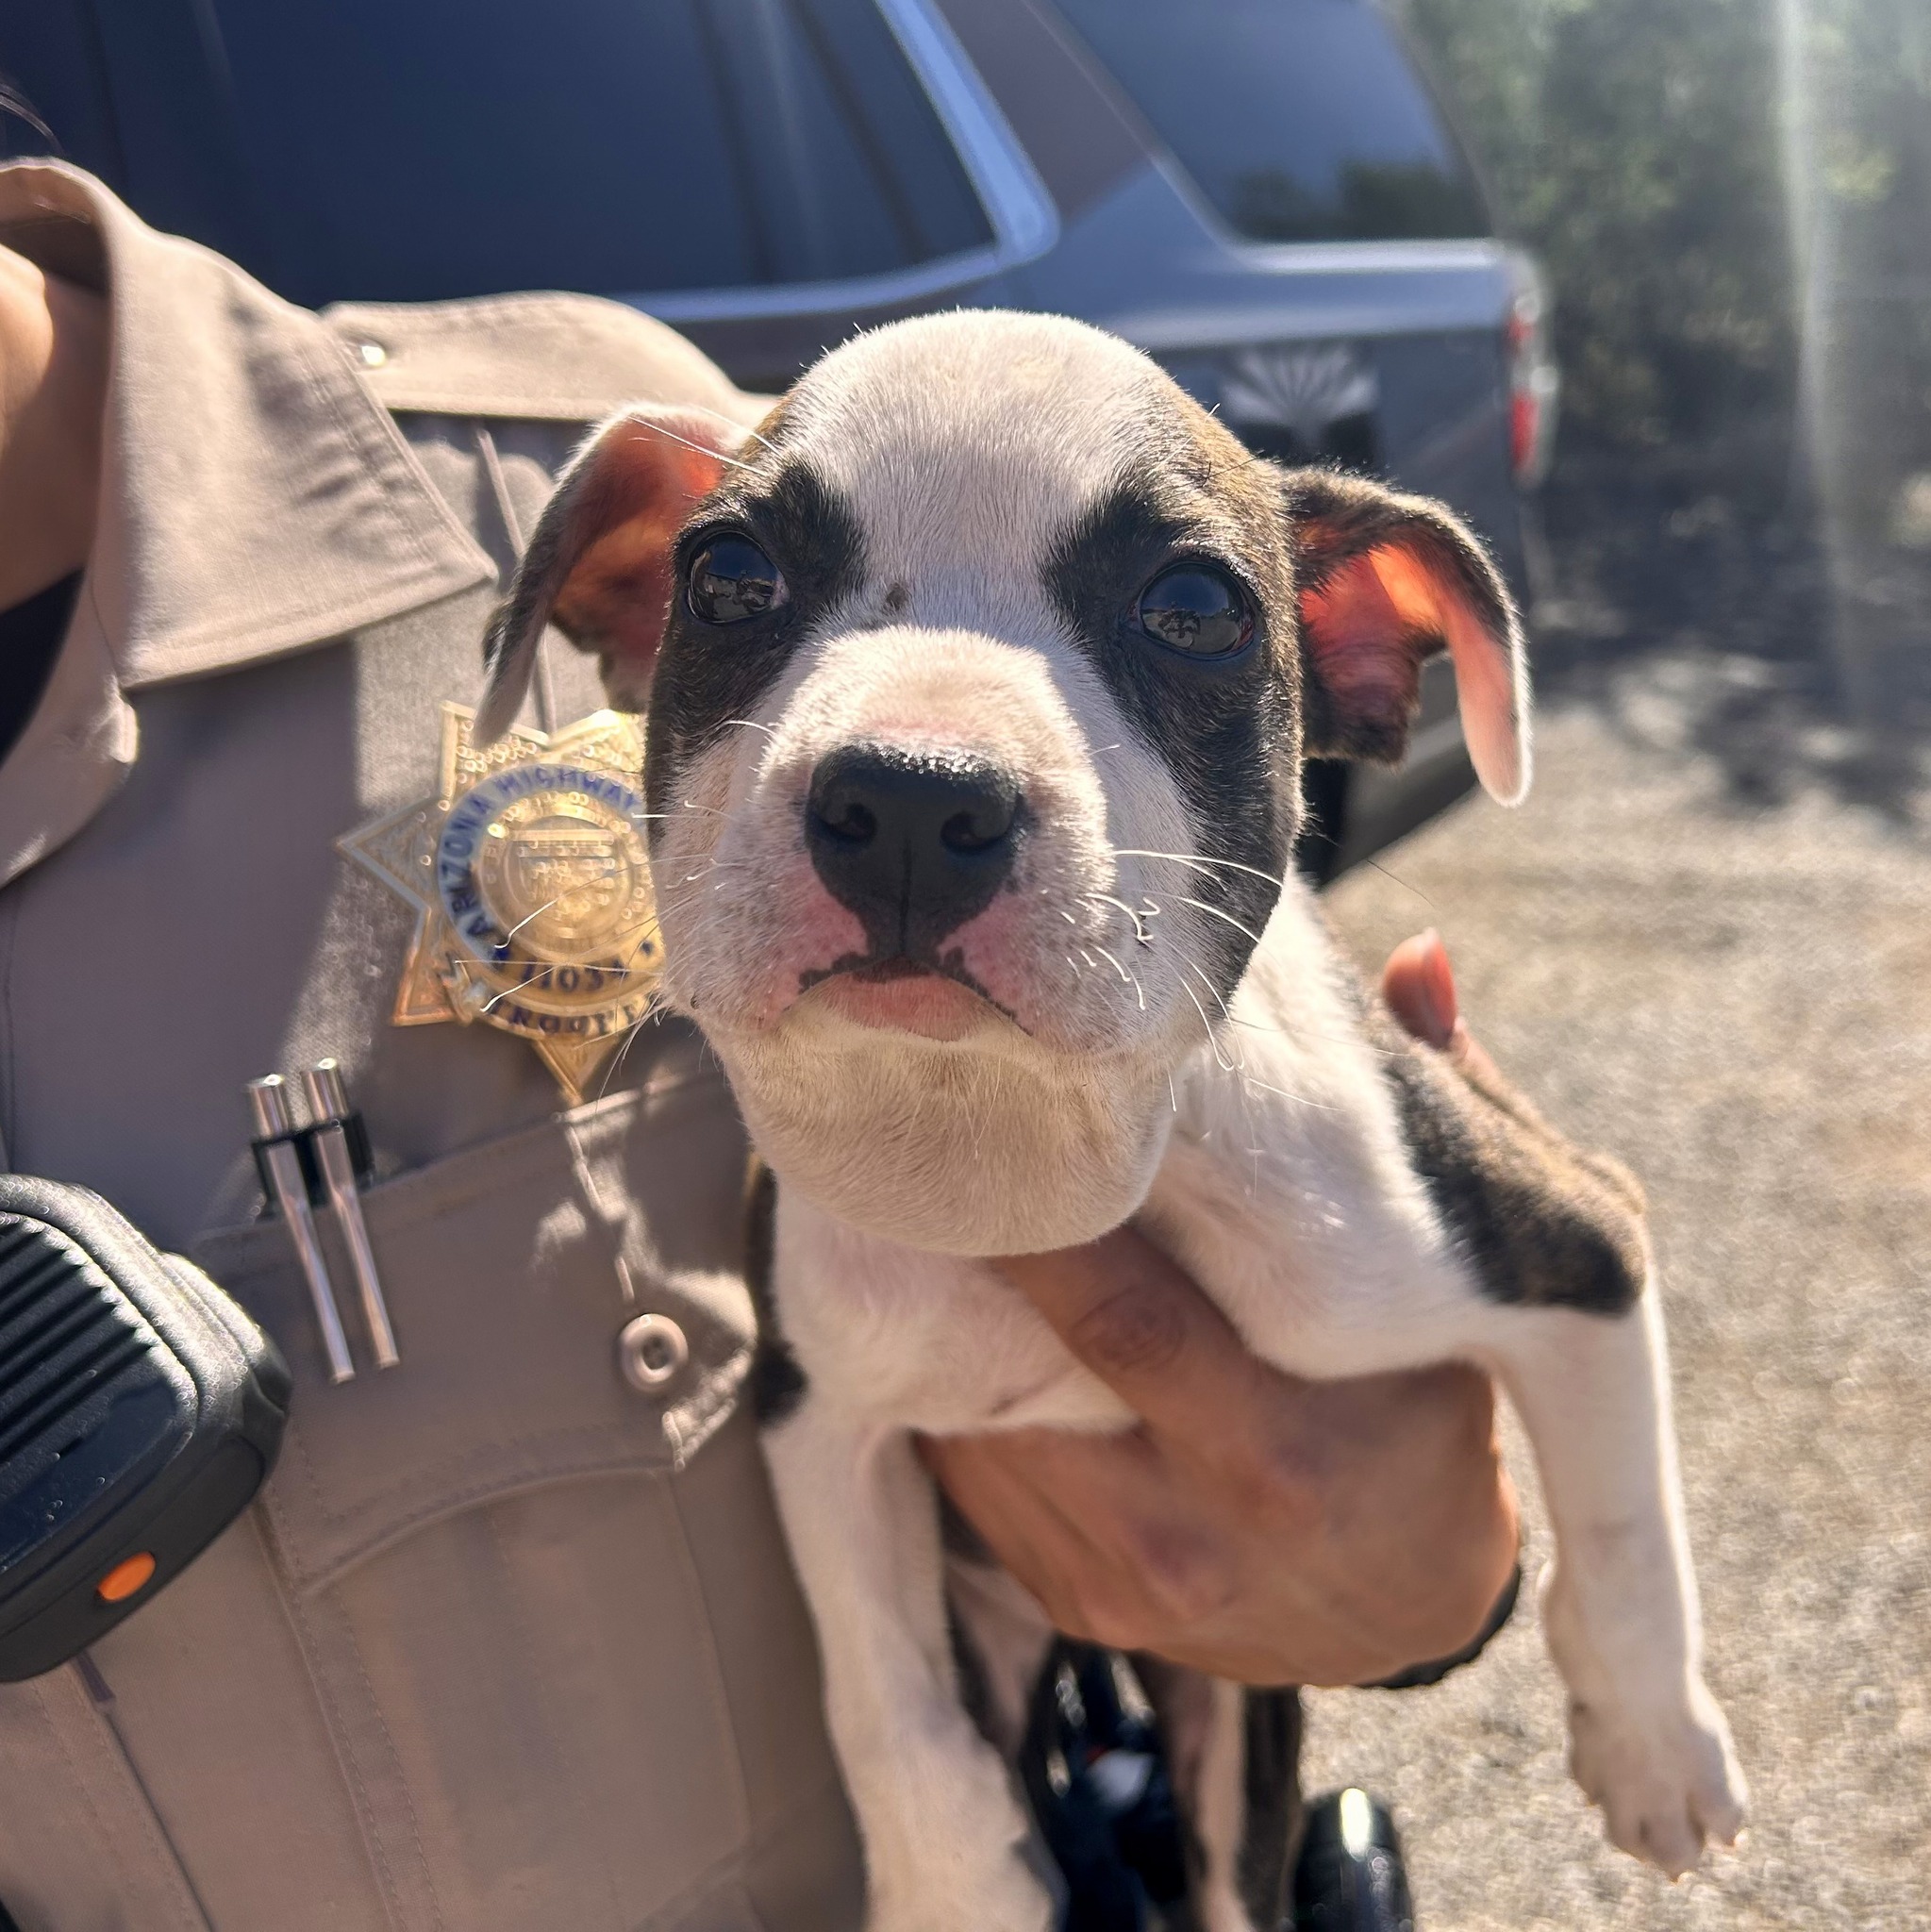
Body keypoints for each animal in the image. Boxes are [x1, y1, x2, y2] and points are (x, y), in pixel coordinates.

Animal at [478, 316, 1753, 1932]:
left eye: (1193, 607)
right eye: (729, 580)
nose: (909, 796)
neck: (999, 1148)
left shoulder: (1562, 1232)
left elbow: (1620, 1518)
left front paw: (1654, 1750)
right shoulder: (814, 1410)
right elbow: (876, 1692)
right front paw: (948, 1875)